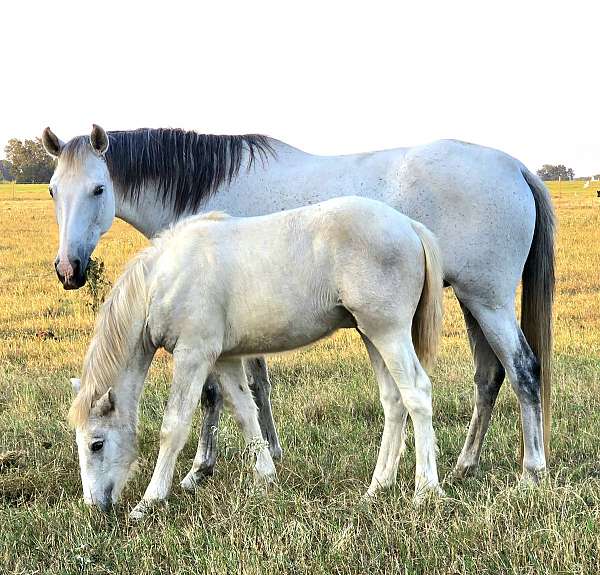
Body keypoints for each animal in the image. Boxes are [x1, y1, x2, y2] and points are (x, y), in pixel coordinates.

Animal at [71, 196, 446, 520]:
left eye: (96, 444)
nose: (95, 506)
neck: (163, 279)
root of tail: (409, 225)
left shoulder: (194, 354)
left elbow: (173, 426)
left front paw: (149, 501)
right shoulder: (224, 359)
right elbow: (245, 413)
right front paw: (265, 479)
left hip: (389, 332)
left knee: (416, 393)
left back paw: (425, 492)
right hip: (371, 334)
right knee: (393, 401)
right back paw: (378, 487)